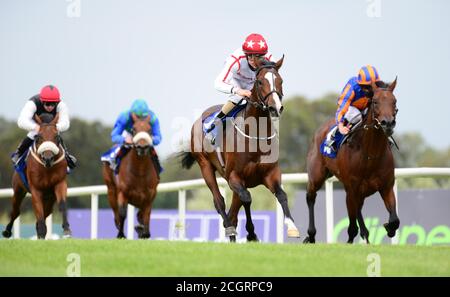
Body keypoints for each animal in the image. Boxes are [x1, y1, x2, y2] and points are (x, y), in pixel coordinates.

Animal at [181, 56, 300, 242]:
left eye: (280, 81)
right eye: (260, 81)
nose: (275, 108)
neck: (255, 137)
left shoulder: (270, 174)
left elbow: (281, 195)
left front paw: (292, 227)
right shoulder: (234, 177)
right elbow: (247, 198)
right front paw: (251, 233)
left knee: (233, 210)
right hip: (205, 166)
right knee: (219, 201)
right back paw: (229, 227)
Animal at [304, 78, 400, 243]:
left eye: (394, 101)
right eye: (375, 101)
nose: (387, 123)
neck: (370, 154)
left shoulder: (386, 187)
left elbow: (394, 220)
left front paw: (388, 227)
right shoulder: (352, 189)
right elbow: (353, 226)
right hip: (317, 176)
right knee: (311, 197)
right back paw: (310, 235)